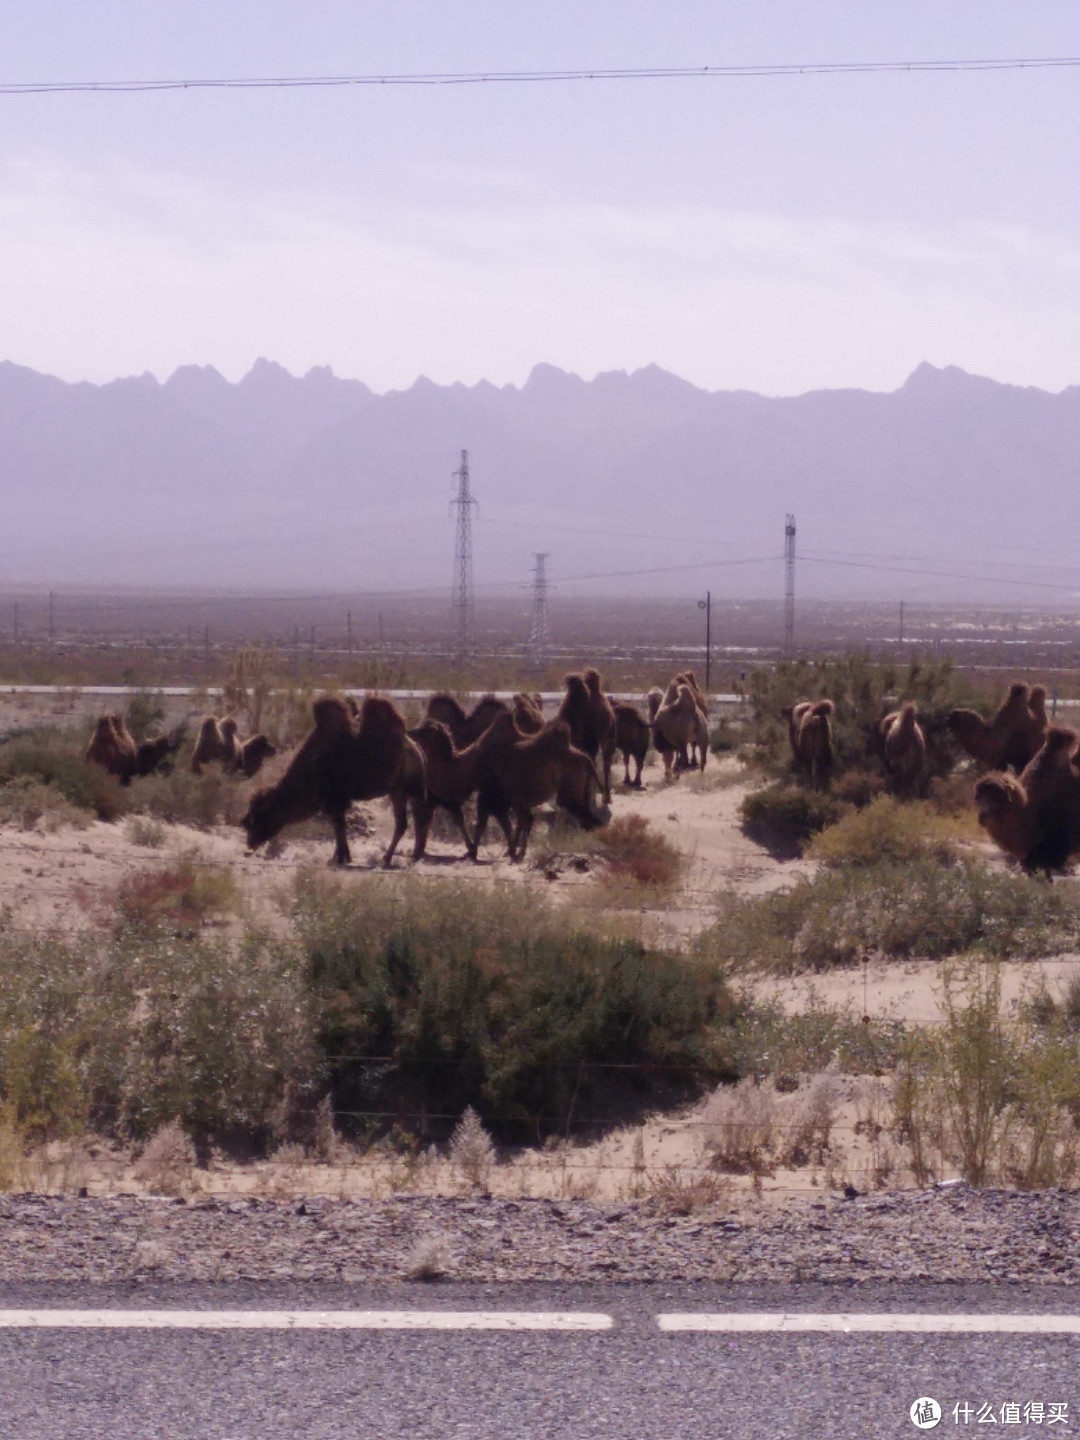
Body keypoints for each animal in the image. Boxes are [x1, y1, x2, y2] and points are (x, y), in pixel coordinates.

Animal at [243, 694, 429, 864]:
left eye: (260, 814)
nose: (250, 842)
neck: (312, 767)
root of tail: (417, 750)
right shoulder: (334, 800)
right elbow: (338, 826)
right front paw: (339, 856)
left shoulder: (336, 798)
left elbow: (338, 826)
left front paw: (340, 858)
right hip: (397, 791)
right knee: (403, 823)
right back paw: (393, 857)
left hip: (408, 787)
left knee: (411, 820)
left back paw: (390, 858)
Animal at [472, 714, 613, 858]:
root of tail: (586, 759)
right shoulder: (514, 798)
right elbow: (521, 821)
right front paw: (513, 851)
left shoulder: (510, 796)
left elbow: (522, 820)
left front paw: (516, 852)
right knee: (589, 819)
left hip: (569, 787)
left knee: (589, 818)